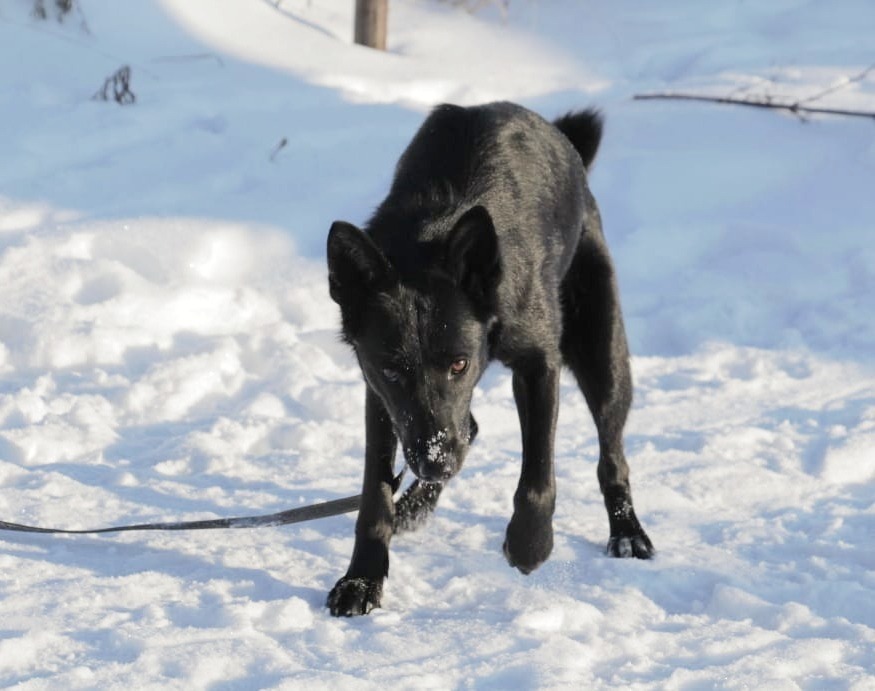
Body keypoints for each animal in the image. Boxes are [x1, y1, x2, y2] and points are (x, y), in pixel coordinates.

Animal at [326, 101, 652, 616]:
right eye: (393, 370)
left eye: (459, 364)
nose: (436, 463)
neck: (430, 236)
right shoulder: (379, 394)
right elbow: (374, 494)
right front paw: (362, 578)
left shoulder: (539, 364)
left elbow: (538, 474)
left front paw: (530, 544)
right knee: (469, 429)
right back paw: (415, 505)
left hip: (602, 352)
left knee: (612, 454)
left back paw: (627, 532)